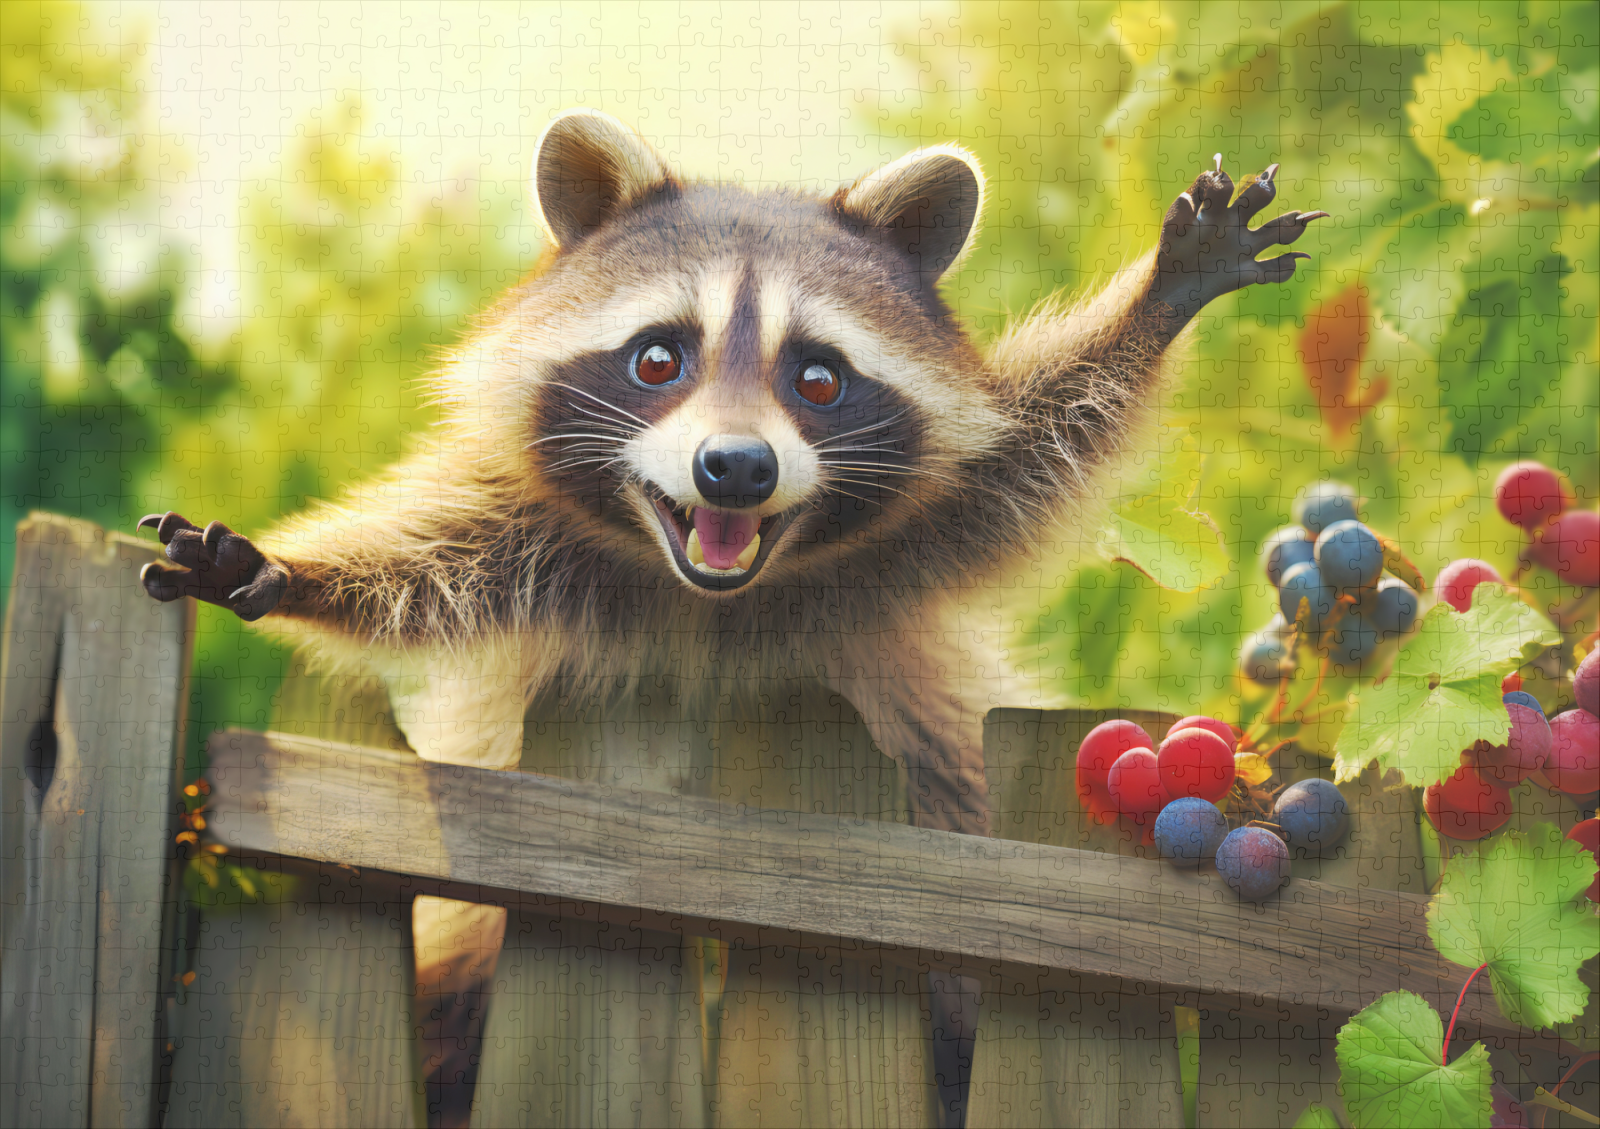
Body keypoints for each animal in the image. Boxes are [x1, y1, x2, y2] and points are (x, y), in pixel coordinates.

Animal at [139, 109, 1324, 836]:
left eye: (819, 377)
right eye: (659, 359)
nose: (738, 470)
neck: (706, 595)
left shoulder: (904, 545)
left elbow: (1039, 445)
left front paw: (1154, 301)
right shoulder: (545, 547)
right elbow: (426, 571)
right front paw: (286, 570)